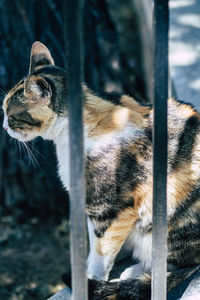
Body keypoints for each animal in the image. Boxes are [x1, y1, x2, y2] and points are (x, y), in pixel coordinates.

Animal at [2, 40, 200, 300]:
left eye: (11, 115)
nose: (4, 127)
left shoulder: (111, 209)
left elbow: (102, 250)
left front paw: (91, 277)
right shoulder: (91, 206)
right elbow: (92, 241)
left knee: (180, 264)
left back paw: (135, 270)